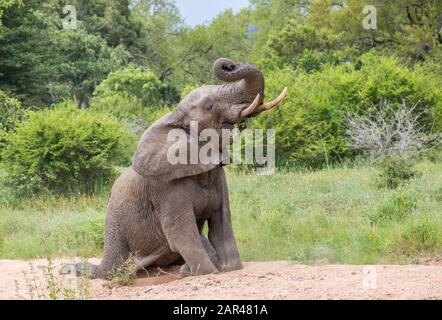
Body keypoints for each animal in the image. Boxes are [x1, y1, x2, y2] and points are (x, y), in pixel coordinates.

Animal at [61, 58, 286, 278]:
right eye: (209, 106)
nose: (230, 65)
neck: (173, 116)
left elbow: (221, 227)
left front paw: (228, 268)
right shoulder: (166, 188)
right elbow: (181, 234)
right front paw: (207, 273)